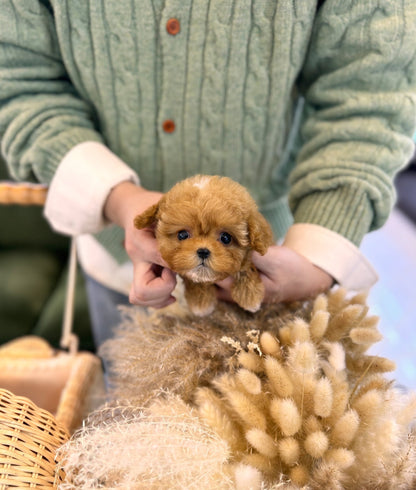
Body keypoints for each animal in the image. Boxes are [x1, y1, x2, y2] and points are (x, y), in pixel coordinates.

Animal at [135, 174, 274, 316]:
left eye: (226, 238)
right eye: (182, 235)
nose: (203, 251)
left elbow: (246, 267)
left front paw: (250, 297)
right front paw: (200, 303)